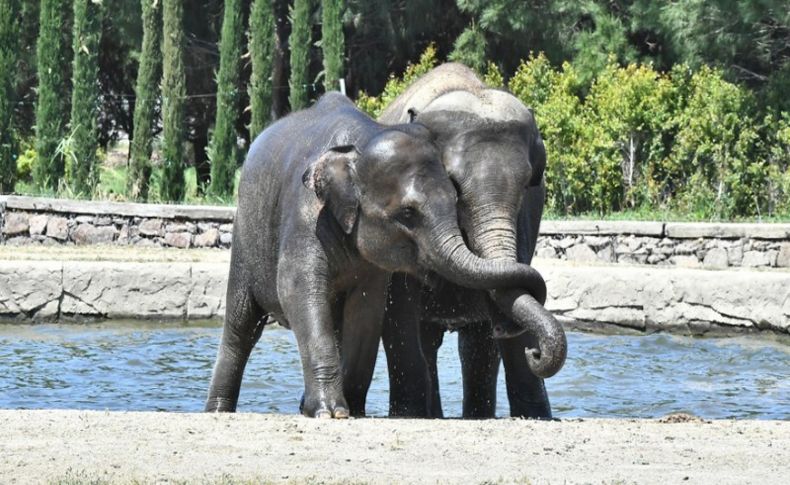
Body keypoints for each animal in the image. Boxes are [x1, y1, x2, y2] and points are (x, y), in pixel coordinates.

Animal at [206, 92, 552, 418]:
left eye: (455, 198)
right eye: (408, 213)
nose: (534, 352)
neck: (363, 140)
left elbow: (367, 309)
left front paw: (349, 408)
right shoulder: (305, 212)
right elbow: (297, 289)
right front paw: (331, 412)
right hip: (244, 235)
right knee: (241, 326)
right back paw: (219, 409)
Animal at [378, 62, 568, 418]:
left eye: (528, 184)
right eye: (452, 183)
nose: (536, 353)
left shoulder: (525, 221)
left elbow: (510, 299)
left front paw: (536, 414)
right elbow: (398, 313)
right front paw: (407, 414)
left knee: (474, 346)